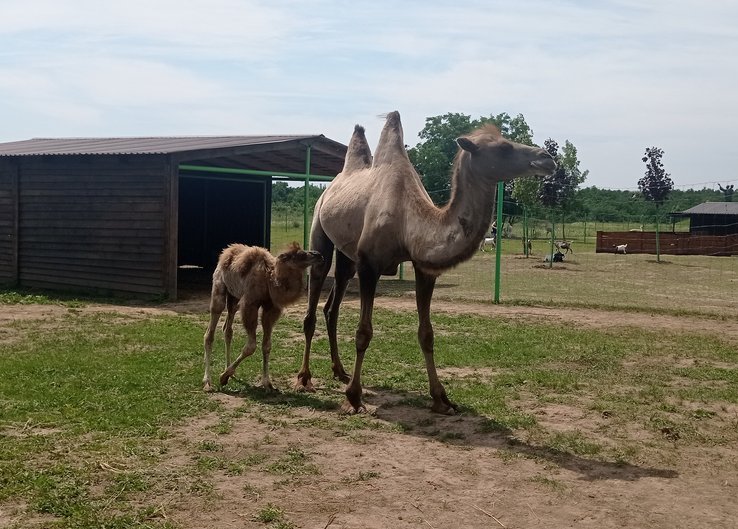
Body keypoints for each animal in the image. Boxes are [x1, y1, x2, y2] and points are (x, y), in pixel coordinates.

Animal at [203, 243, 320, 392]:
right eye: (299, 254)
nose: (318, 254)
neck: (270, 279)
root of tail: (225, 253)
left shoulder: (271, 307)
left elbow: (267, 345)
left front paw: (267, 383)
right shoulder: (250, 304)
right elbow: (251, 346)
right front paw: (223, 376)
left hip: (234, 298)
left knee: (227, 329)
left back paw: (229, 371)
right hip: (219, 288)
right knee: (210, 332)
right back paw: (207, 382)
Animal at [294, 111, 552, 412]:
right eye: (503, 147)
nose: (547, 157)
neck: (408, 222)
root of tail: (331, 187)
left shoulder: (424, 268)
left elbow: (426, 333)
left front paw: (441, 398)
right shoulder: (370, 265)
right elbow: (363, 333)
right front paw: (354, 397)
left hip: (347, 256)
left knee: (332, 308)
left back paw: (340, 371)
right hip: (319, 230)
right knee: (313, 305)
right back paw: (304, 378)